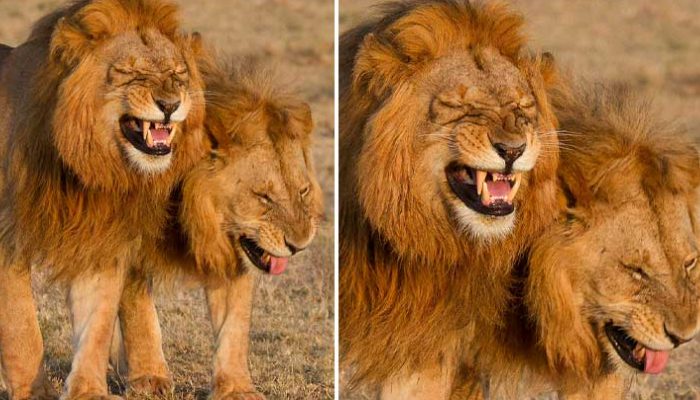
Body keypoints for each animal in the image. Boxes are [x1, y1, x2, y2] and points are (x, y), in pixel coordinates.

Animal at [0, 1, 205, 398]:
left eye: (178, 75)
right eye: (129, 73)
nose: (170, 104)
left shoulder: (100, 238)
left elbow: (95, 325)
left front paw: (87, 391)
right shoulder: (6, 242)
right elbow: (21, 328)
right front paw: (34, 391)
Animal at [108, 55, 322, 396]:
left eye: (302, 191)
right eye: (263, 196)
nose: (299, 245)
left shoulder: (236, 253)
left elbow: (235, 323)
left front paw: (236, 388)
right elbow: (138, 312)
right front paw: (149, 379)